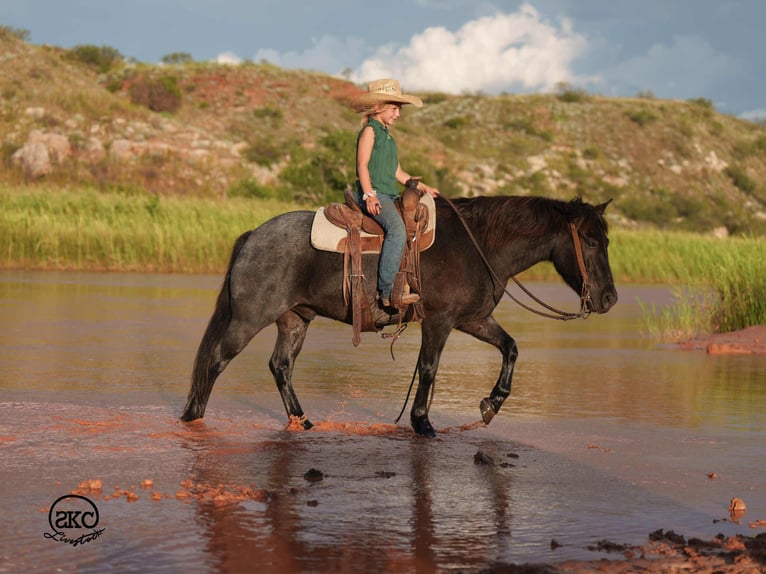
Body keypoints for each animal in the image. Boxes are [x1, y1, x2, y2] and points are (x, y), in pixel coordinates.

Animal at [181, 195, 618, 437]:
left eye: (607, 240)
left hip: (294, 319)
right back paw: (193, 419)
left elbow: (510, 348)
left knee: (280, 366)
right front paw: (422, 423)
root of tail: (252, 235)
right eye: (591, 241)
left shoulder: (472, 320)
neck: (479, 246)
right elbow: (428, 368)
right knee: (215, 362)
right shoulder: (440, 321)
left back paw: (302, 422)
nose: (610, 298)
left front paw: (490, 405)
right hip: (248, 319)